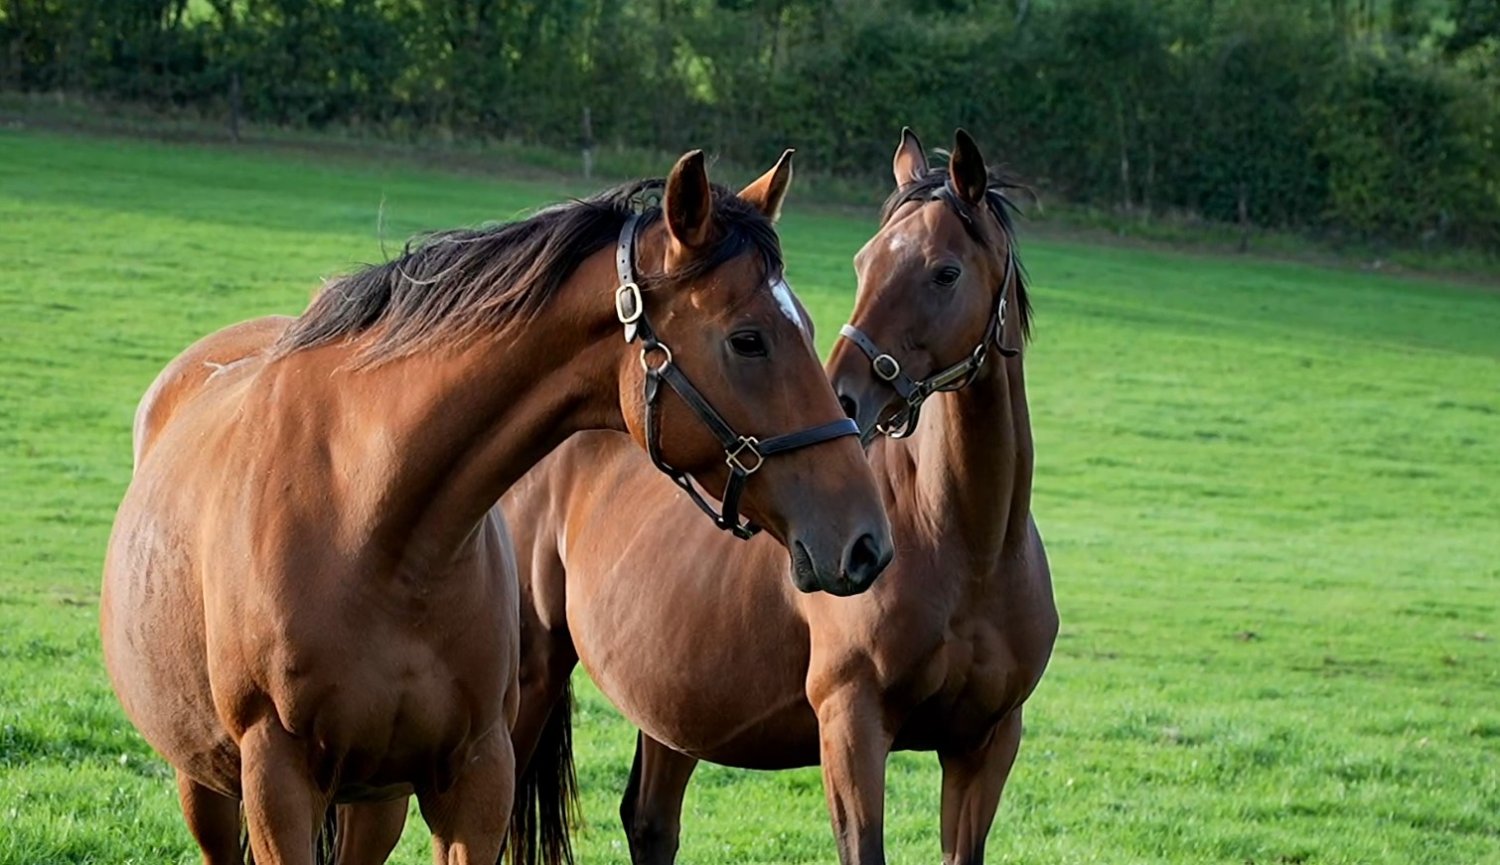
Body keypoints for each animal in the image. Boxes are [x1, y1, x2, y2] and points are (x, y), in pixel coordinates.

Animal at [101, 148, 894, 865]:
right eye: (748, 339)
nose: (866, 543)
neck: (373, 529)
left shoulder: (473, 782)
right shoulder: (278, 784)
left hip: (374, 802)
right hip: (205, 784)